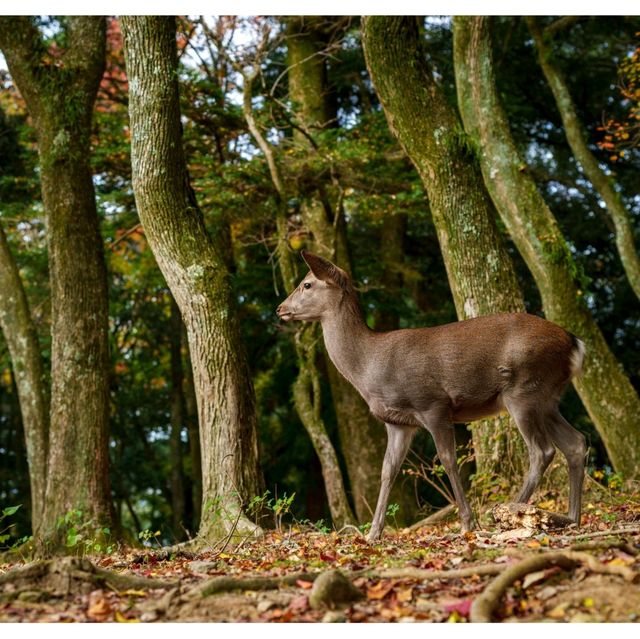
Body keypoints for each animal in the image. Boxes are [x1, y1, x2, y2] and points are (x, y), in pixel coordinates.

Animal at [278, 250, 588, 540]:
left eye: (307, 284)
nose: (280, 309)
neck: (368, 367)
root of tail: (575, 343)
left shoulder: (433, 404)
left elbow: (448, 460)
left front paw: (467, 523)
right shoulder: (397, 422)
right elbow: (387, 470)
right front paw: (373, 533)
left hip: (523, 389)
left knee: (542, 450)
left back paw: (505, 514)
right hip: (546, 398)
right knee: (575, 442)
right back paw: (571, 518)